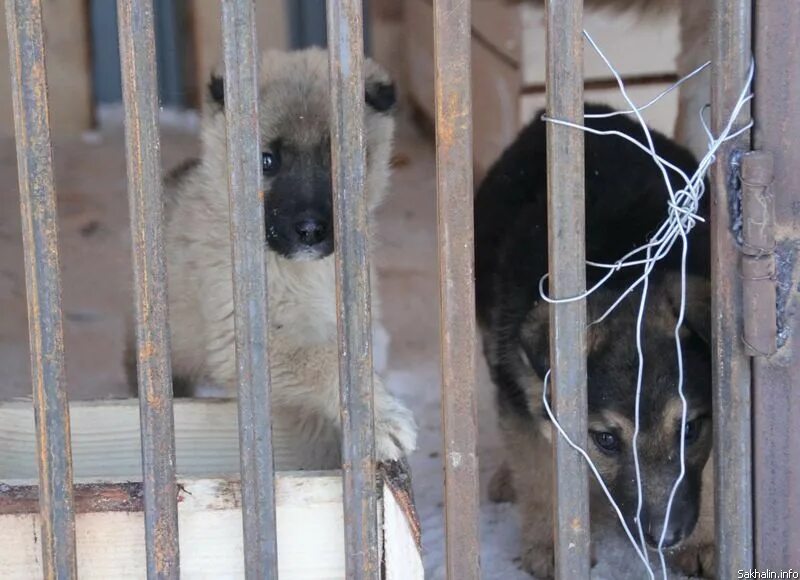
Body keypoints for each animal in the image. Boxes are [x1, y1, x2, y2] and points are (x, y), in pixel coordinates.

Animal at [478, 105, 716, 580]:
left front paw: (705, 540)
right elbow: (537, 465)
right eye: (606, 440)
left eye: (691, 430)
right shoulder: (522, 388)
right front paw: (552, 544)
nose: (666, 538)